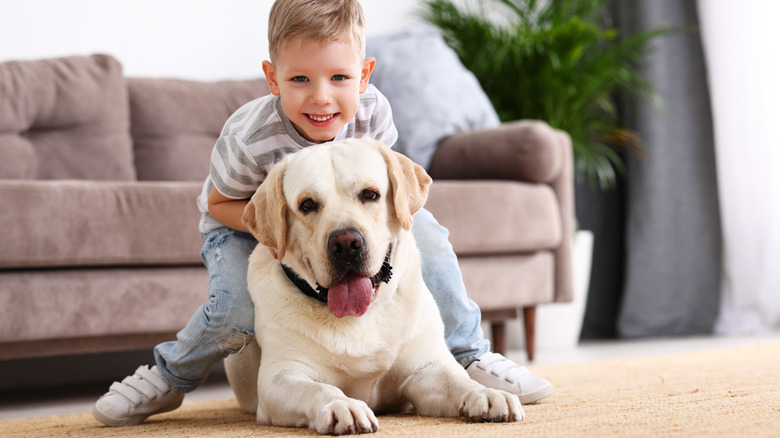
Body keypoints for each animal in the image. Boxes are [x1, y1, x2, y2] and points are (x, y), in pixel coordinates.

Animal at [222, 139, 520, 432]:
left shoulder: (424, 370)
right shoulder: (279, 377)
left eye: (369, 194)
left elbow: (456, 381)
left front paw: (485, 393)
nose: (345, 243)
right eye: (307, 204)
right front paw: (343, 406)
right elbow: (319, 389)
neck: (360, 317)